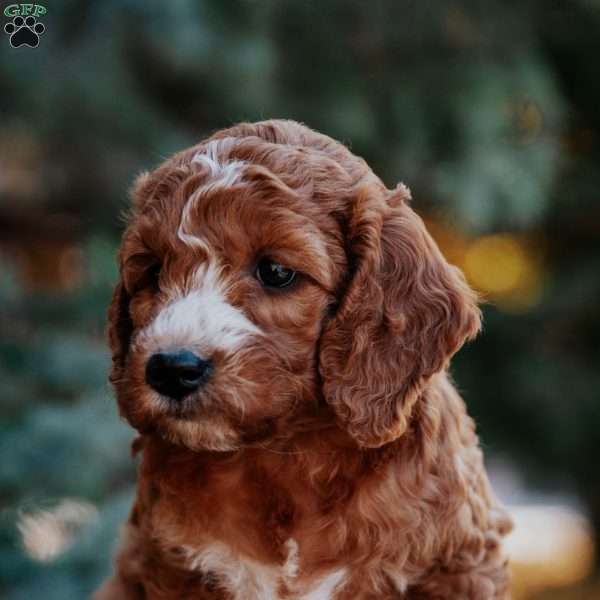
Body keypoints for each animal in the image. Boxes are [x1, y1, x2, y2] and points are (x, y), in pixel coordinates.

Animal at [94, 119, 510, 596]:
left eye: (276, 272)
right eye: (153, 271)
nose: (172, 369)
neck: (288, 457)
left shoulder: (457, 565)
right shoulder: (167, 565)